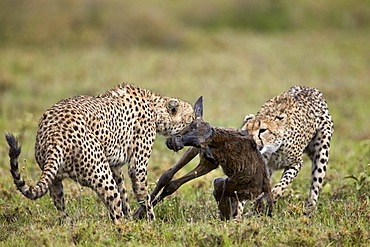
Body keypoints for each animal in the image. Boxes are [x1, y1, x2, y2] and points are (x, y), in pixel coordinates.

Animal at [5, 83, 199, 224]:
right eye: (190, 118)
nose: (197, 123)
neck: (154, 106)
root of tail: (54, 133)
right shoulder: (136, 166)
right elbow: (143, 195)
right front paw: (151, 223)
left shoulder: (115, 166)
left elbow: (124, 193)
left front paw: (132, 216)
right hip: (100, 174)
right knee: (114, 212)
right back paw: (125, 228)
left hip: (56, 177)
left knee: (59, 203)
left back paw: (68, 225)